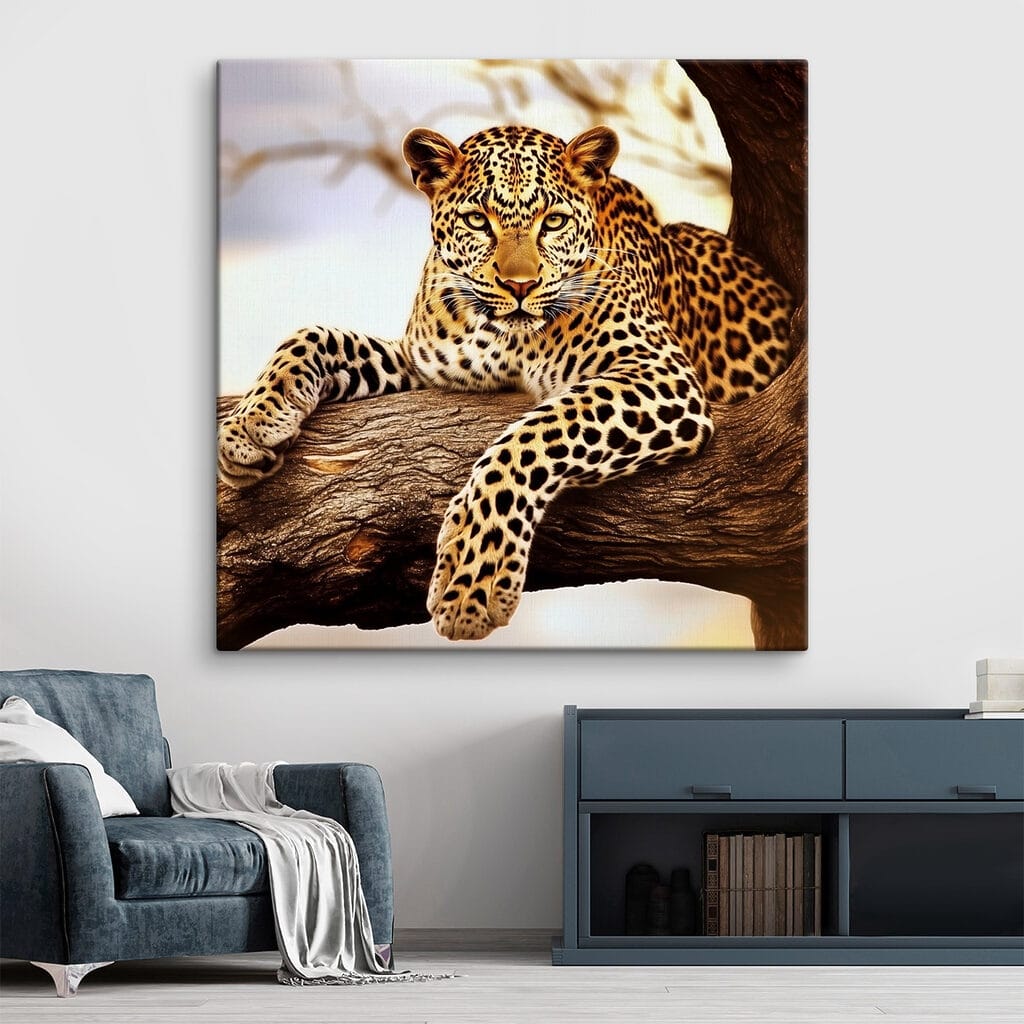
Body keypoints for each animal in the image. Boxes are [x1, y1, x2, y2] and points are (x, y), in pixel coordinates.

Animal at [218, 124, 792, 641]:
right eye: (478, 220)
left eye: (554, 222)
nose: (520, 286)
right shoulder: (421, 367)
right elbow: (315, 335)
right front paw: (249, 427)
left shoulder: (658, 372)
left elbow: (535, 436)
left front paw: (473, 580)